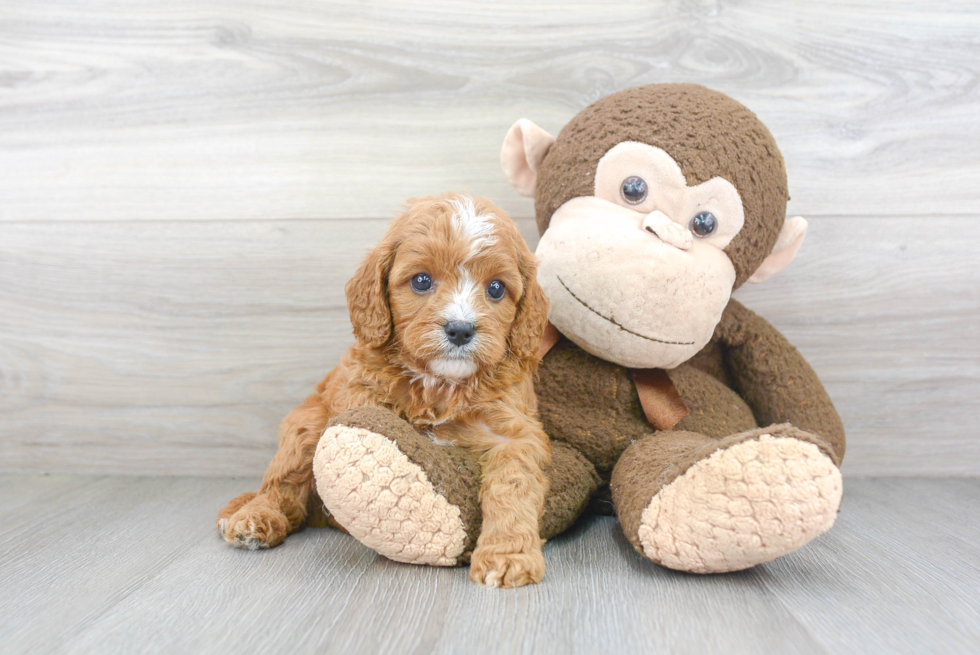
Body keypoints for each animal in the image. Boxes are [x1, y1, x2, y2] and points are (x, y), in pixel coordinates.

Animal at [220, 193, 552, 588]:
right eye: (422, 280)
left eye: (497, 288)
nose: (460, 329)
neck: (438, 385)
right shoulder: (359, 400)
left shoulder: (512, 431)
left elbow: (513, 486)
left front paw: (507, 554)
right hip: (308, 420)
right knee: (280, 484)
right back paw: (255, 516)